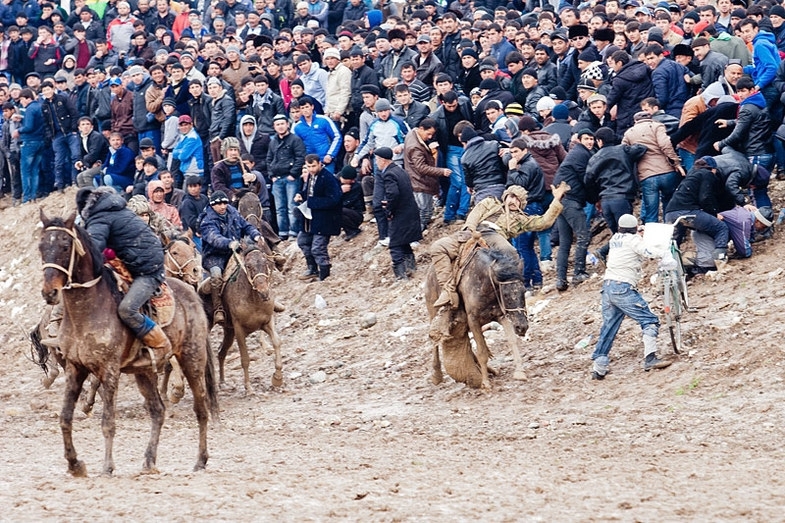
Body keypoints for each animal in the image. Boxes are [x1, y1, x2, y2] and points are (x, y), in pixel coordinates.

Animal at [38, 211, 219, 476]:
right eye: (41, 247)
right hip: (144, 372)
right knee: (158, 411)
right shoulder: (75, 368)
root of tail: (192, 294)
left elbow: (108, 422)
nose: (49, 292)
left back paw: (201, 460)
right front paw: (75, 464)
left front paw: (107, 466)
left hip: (192, 358)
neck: (89, 307)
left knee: (201, 408)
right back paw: (149, 461)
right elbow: (65, 417)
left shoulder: (109, 370)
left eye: (64, 246)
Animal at [207, 239, 284, 396]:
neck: (253, 299)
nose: (264, 291)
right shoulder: (239, 330)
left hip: (228, 332)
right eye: (248, 265)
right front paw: (248, 388)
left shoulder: (267, 322)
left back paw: (223, 383)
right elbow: (245, 359)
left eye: (265, 262)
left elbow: (277, 342)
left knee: (221, 353)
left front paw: (277, 379)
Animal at [426, 245, 528, 388]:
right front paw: (485, 383)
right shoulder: (473, 320)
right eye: (505, 294)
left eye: (524, 291)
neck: (484, 282)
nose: (522, 327)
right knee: (434, 341)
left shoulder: (501, 316)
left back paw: (490, 370)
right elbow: (482, 351)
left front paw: (520, 372)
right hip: (433, 313)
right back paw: (436, 375)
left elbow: (512, 340)